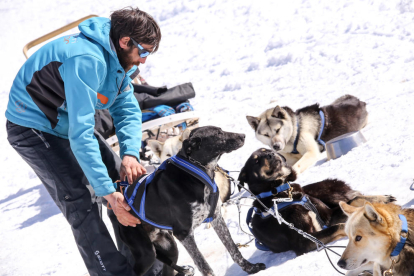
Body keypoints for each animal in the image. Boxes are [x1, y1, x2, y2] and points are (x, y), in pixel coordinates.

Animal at [118, 126, 266, 276]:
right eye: (218, 133)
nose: (243, 135)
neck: (195, 174)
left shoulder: (216, 218)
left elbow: (233, 249)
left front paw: (250, 268)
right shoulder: (184, 234)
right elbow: (204, 265)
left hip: (169, 246)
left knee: (168, 266)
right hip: (147, 254)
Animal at [239, 149, 394, 256]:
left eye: (267, 150)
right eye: (256, 161)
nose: (271, 154)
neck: (281, 194)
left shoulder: (328, 216)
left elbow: (353, 206)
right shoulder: (304, 241)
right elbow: (339, 226)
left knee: (354, 198)